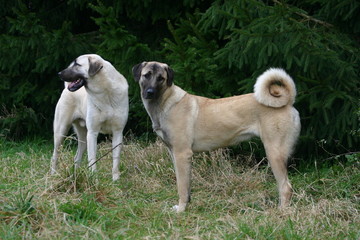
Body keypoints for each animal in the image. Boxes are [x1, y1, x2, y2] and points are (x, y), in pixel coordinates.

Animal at [132, 62, 300, 212]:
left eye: (161, 78)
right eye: (147, 75)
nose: (150, 92)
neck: (165, 102)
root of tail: (288, 102)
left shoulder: (182, 154)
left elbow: (181, 186)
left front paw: (181, 209)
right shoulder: (174, 154)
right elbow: (186, 185)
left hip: (274, 153)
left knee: (286, 187)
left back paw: (282, 212)